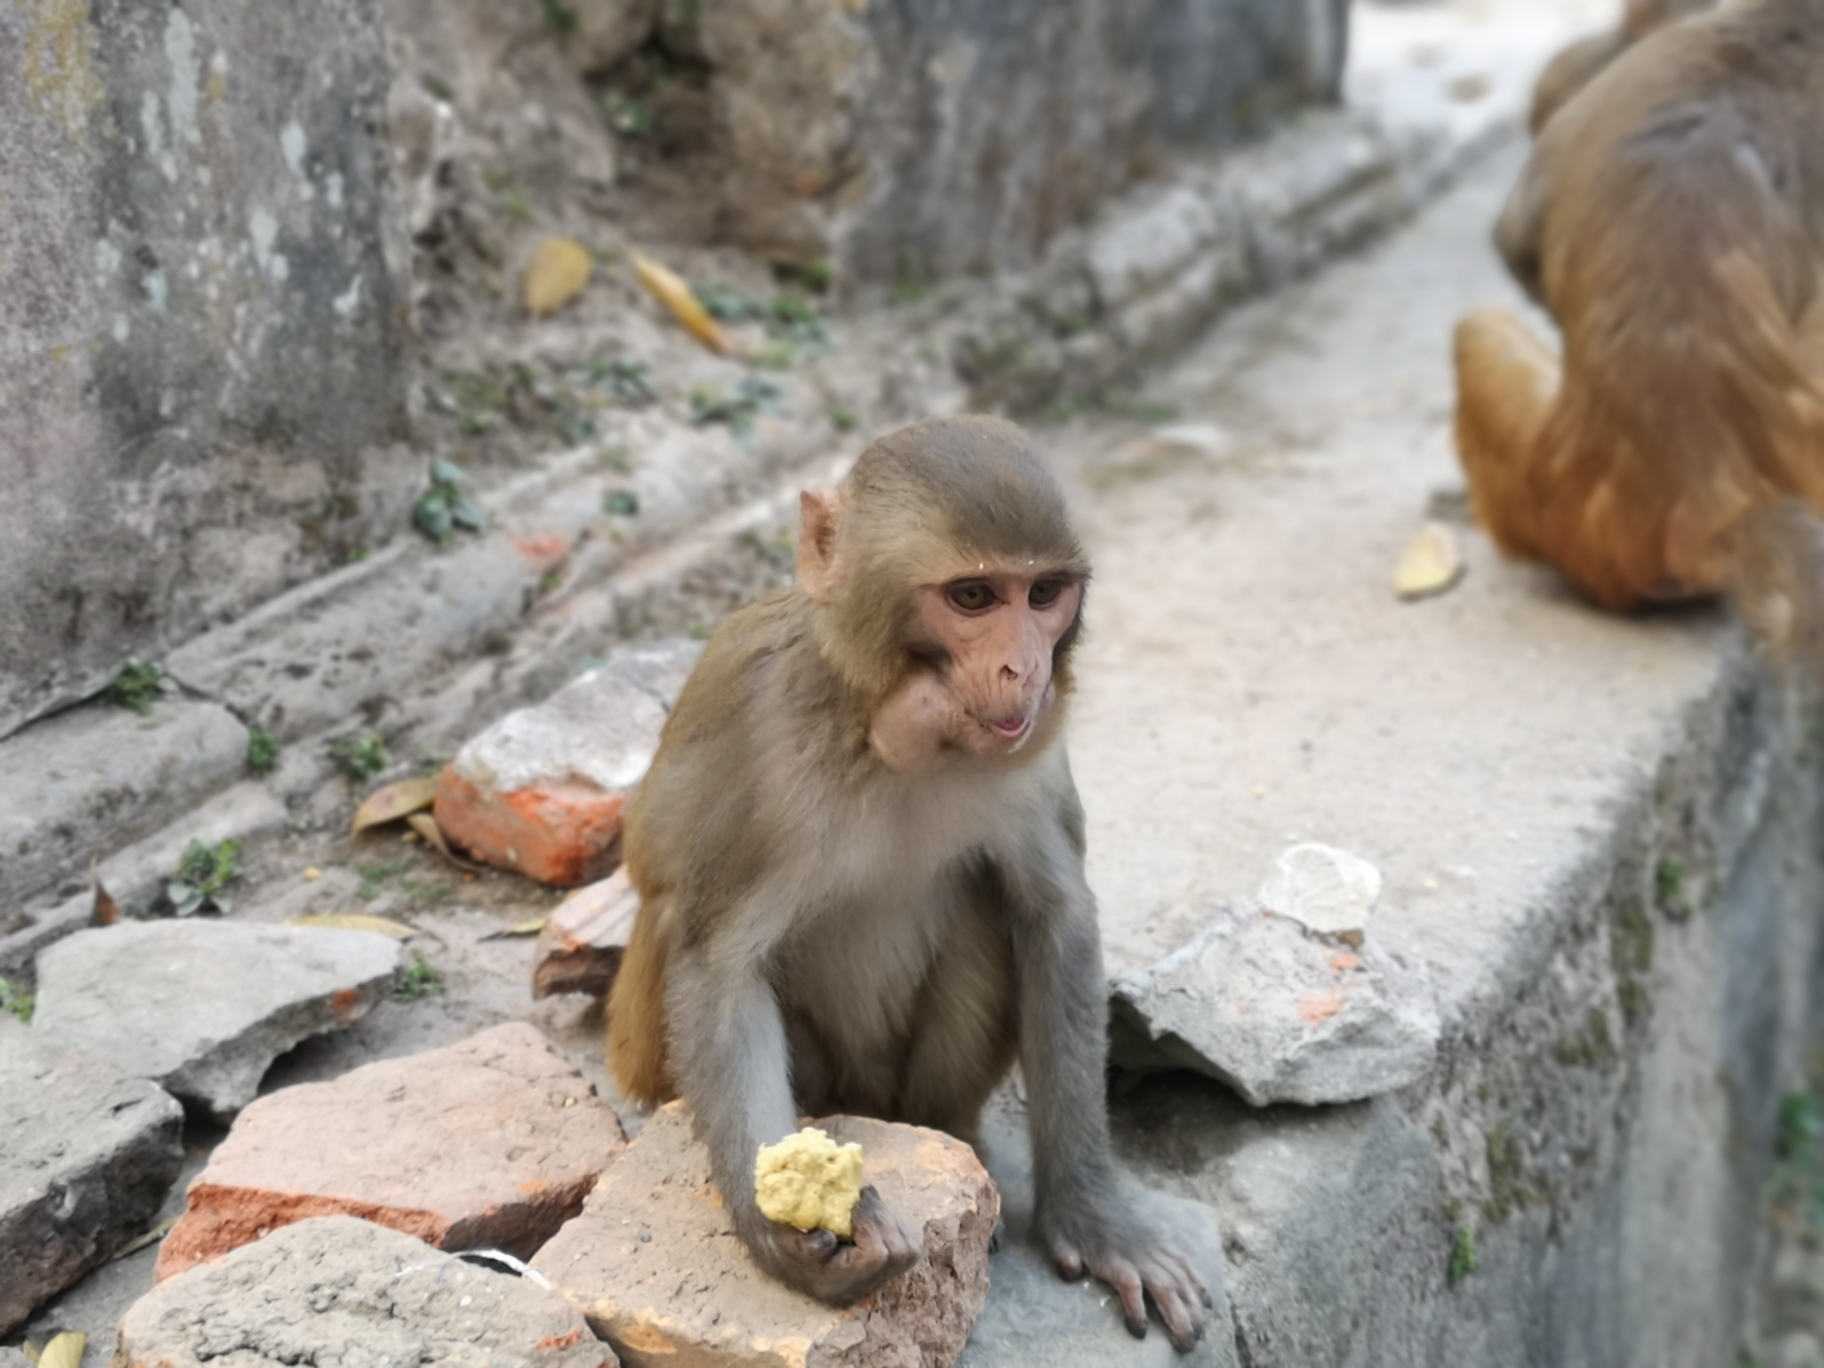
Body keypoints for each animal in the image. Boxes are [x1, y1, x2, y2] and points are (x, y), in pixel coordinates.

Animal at [609, 415, 1211, 1349]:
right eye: (972, 598)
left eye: (1042, 594)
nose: (1023, 669)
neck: (879, 737)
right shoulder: (769, 742)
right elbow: (718, 968)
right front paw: (785, 1240)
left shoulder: (1031, 751)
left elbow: (1056, 918)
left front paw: (1092, 1216)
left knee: (985, 907)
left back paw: (957, 1148)